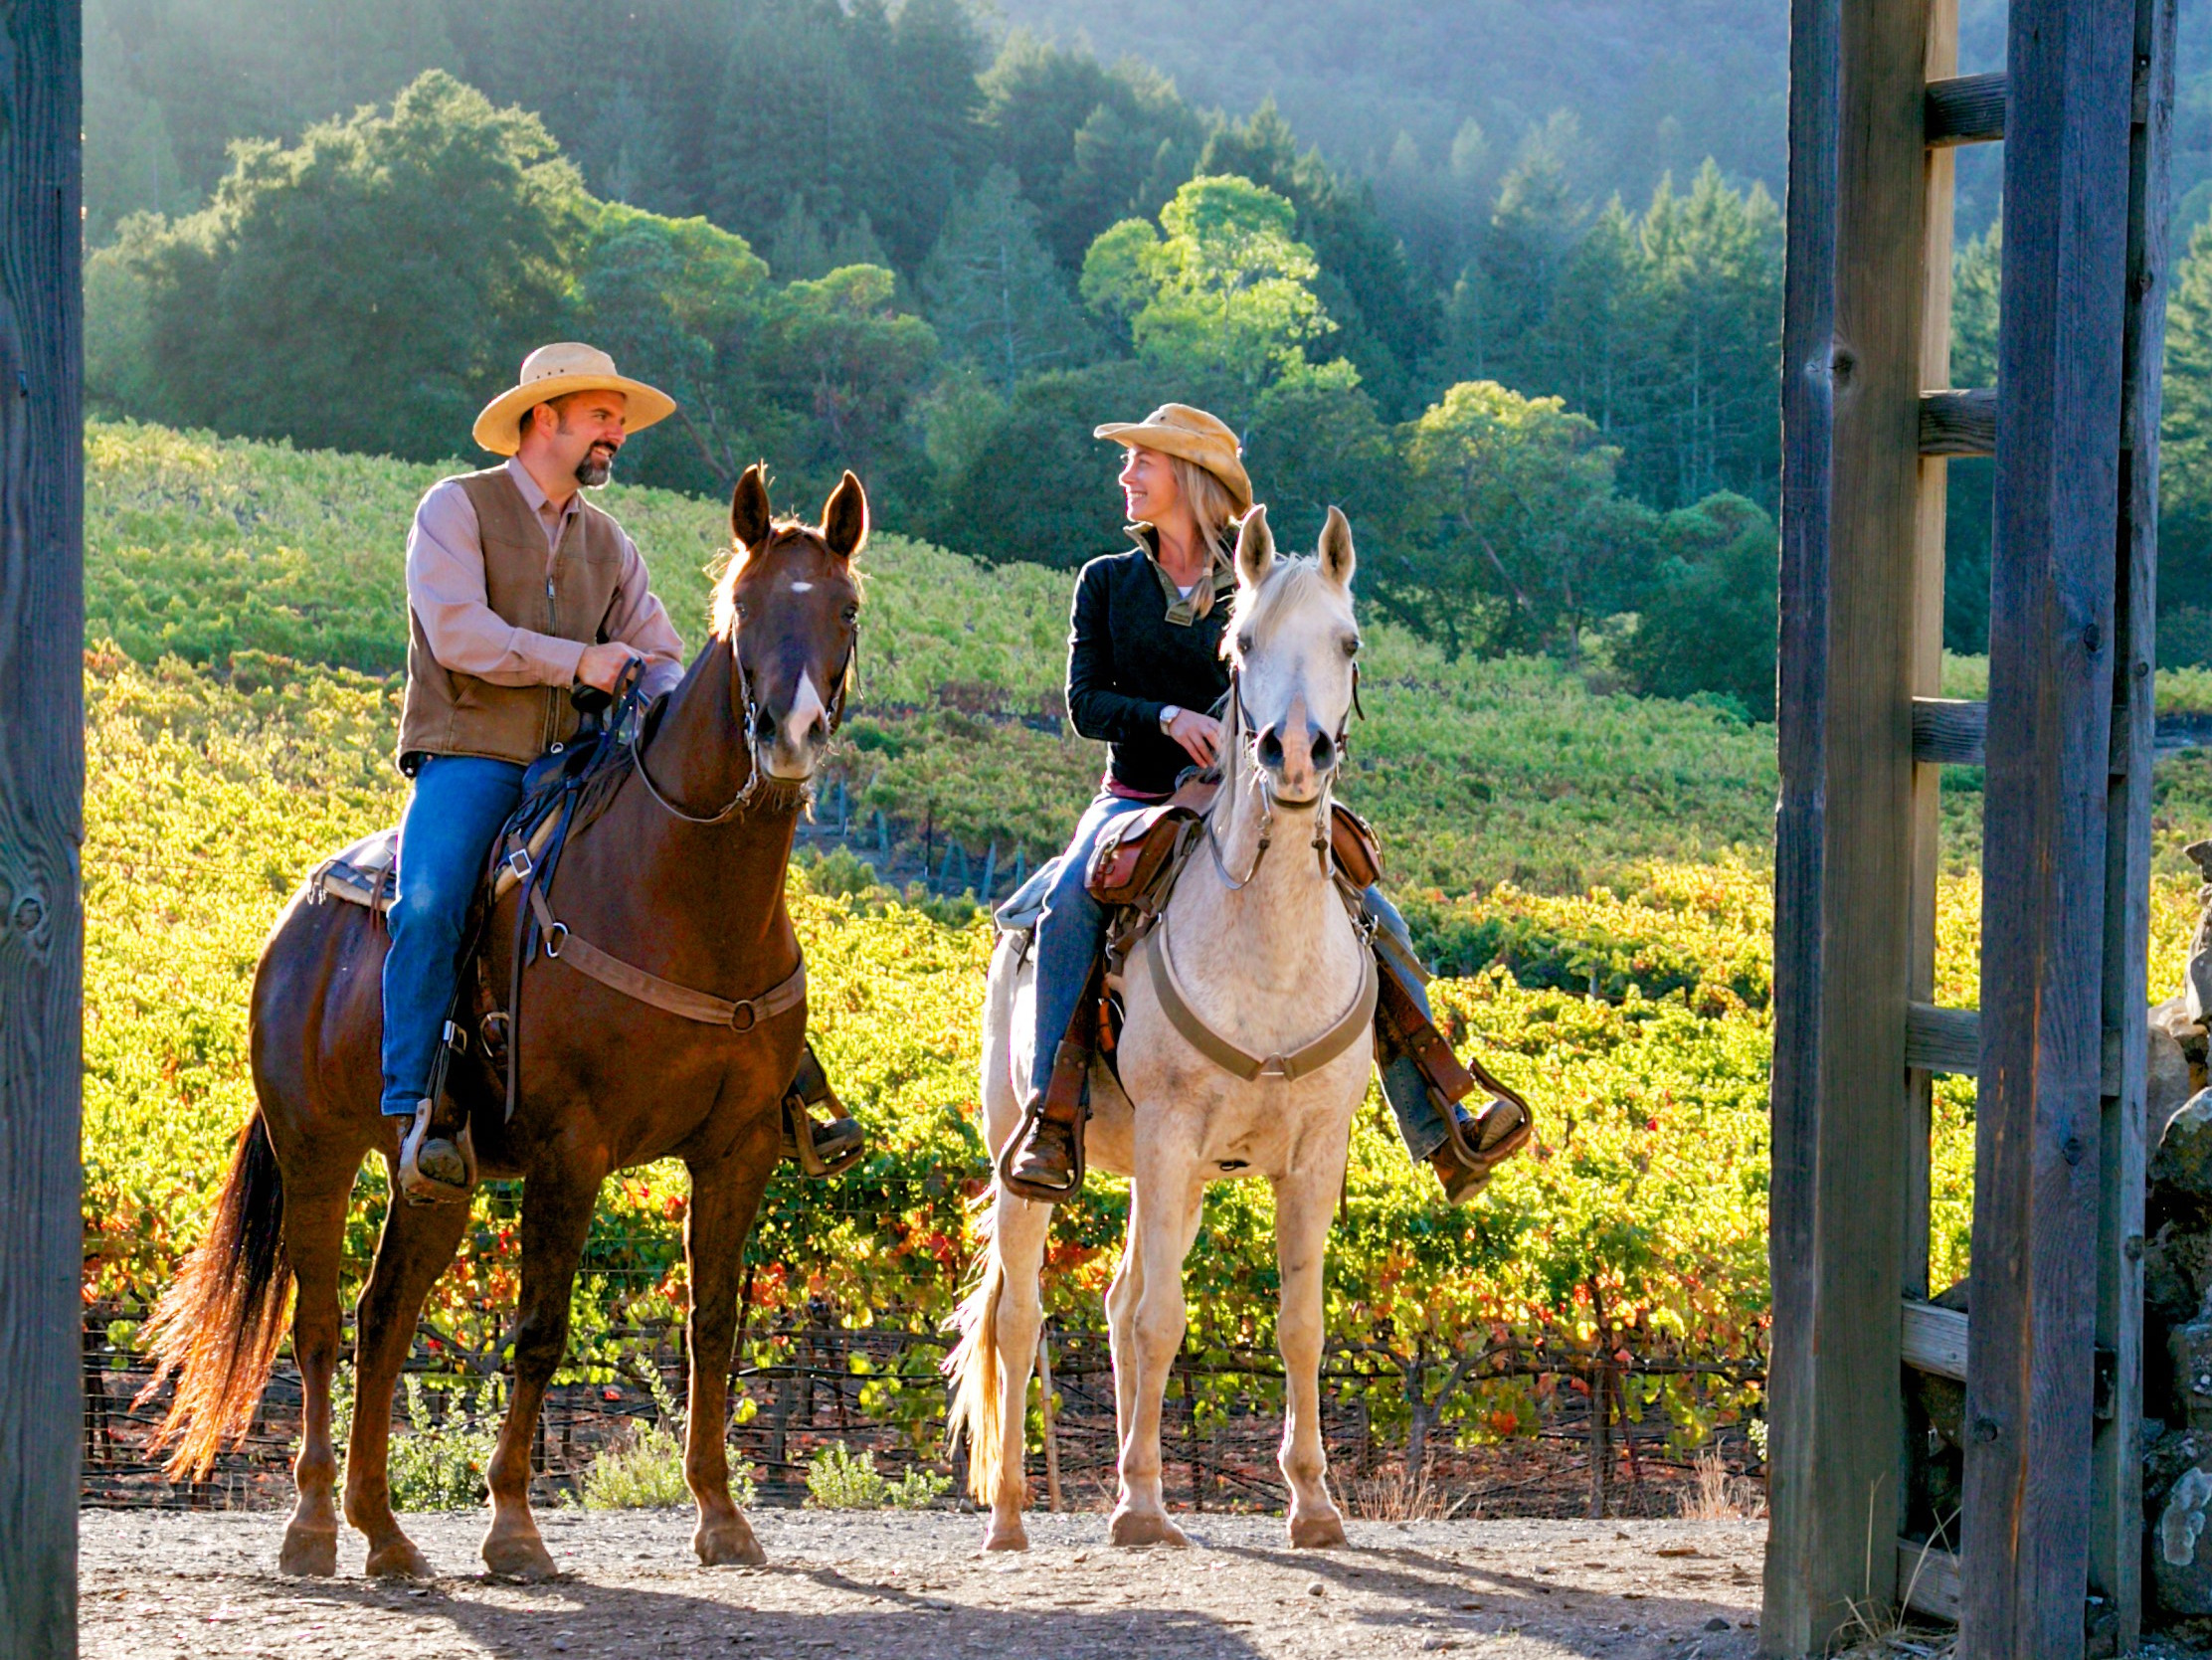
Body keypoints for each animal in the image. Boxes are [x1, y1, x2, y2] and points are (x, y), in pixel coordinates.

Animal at [140, 468, 862, 1584]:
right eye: (741, 610)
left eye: (845, 608)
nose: (792, 737)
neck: (689, 900)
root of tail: (296, 923)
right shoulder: (574, 1150)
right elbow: (539, 1330)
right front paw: (515, 1527)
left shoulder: (736, 1149)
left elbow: (712, 1326)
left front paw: (720, 1515)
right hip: (317, 1150)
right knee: (319, 1324)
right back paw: (314, 1527)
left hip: (436, 1173)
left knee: (384, 1315)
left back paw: (386, 1533)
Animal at [946, 499, 1371, 1558]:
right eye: (1240, 644)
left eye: (1346, 641)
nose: (1293, 755)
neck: (1269, 949)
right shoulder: (1176, 1135)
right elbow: (1162, 1320)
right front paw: (1138, 1505)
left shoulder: (1312, 1153)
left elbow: (1298, 1321)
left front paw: (1313, 1504)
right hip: (1028, 1156)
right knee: (1022, 1318)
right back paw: (1010, 1515)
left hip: (1159, 1172)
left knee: (1114, 1297)